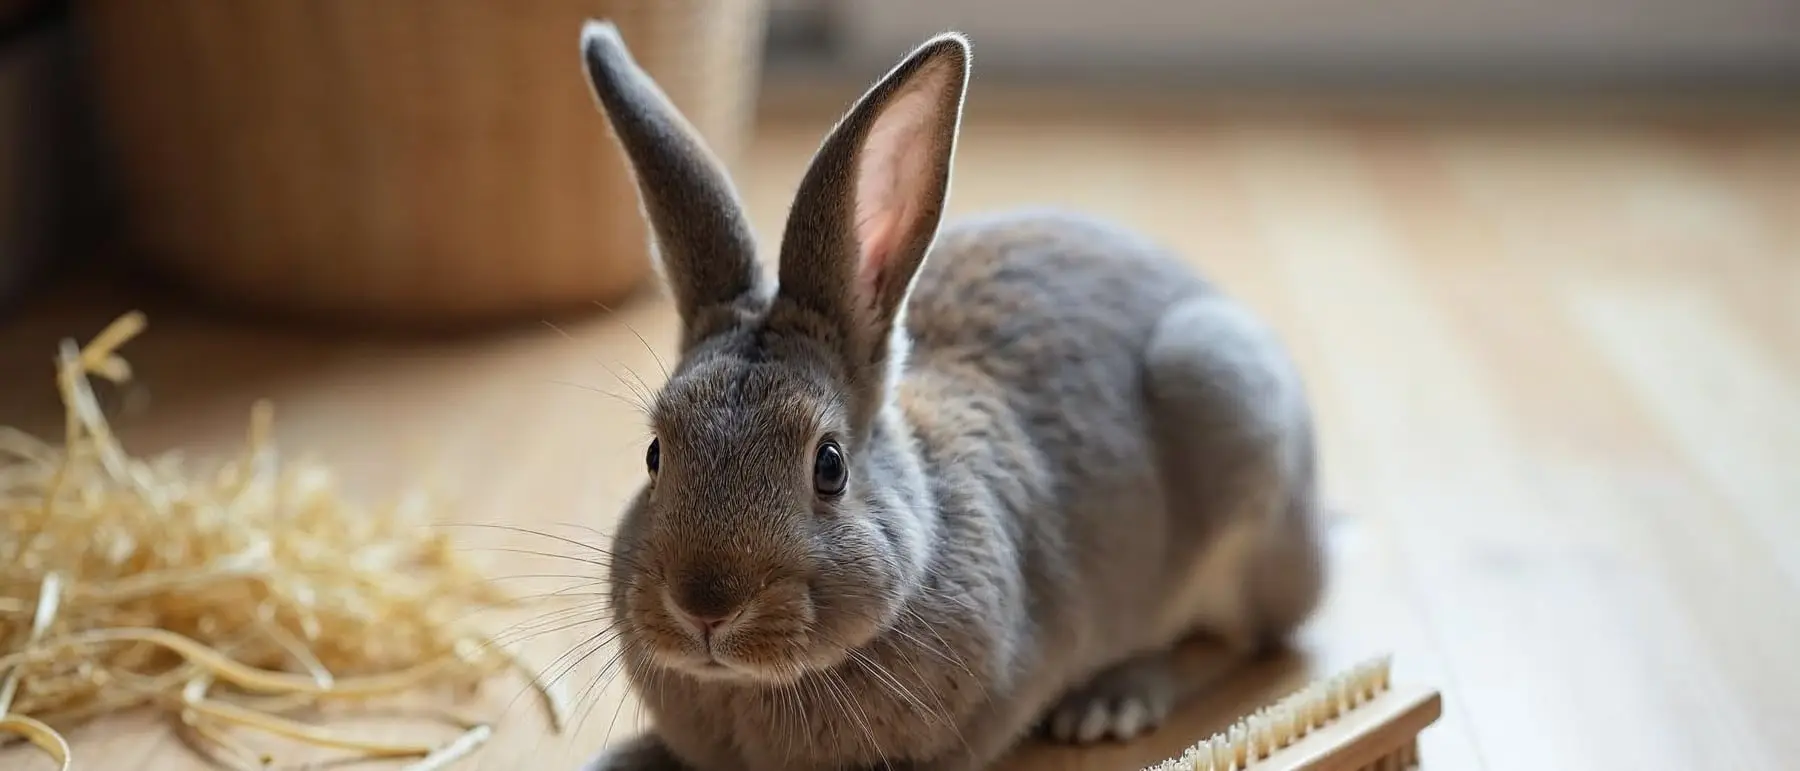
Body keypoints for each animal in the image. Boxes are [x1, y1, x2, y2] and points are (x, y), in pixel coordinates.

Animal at [574, 17, 1326, 771]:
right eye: (654, 454)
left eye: (829, 465)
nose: (704, 605)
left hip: (1228, 402)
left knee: (1233, 644)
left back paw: (1111, 702)